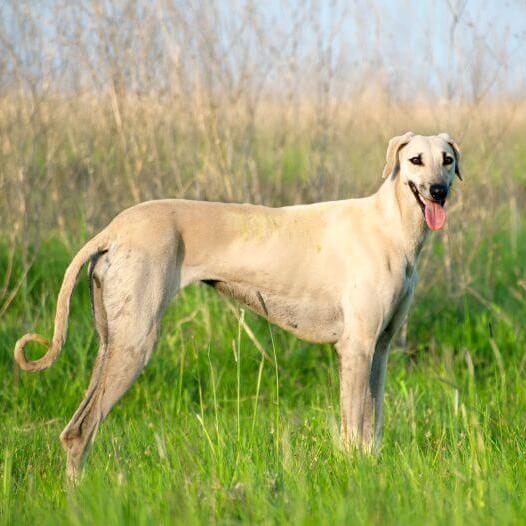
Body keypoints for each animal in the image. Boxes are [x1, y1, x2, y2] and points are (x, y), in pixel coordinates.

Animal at [14, 133, 464, 482]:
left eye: (447, 159)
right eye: (415, 160)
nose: (438, 191)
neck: (389, 225)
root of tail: (112, 229)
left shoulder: (380, 350)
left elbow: (373, 425)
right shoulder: (355, 349)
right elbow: (353, 429)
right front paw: (355, 475)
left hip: (112, 343)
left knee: (77, 428)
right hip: (134, 345)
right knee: (80, 431)